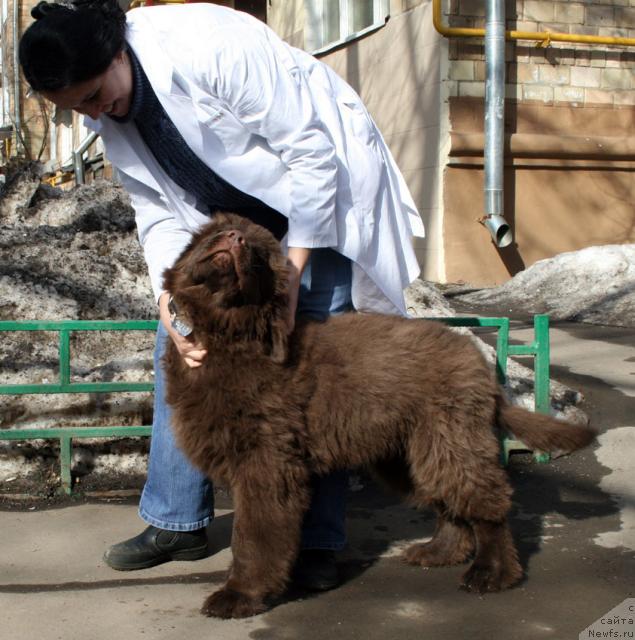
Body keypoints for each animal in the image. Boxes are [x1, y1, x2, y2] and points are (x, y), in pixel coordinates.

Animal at [160, 215, 596, 620]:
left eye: (257, 251)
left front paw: (240, 595)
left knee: (485, 503)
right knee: (447, 502)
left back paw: (493, 572)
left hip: (448, 439)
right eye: (213, 233)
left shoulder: (267, 464)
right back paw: (440, 552)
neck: (229, 338)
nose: (233, 238)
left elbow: (253, 535)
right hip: (409, 454)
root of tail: (477, 360)